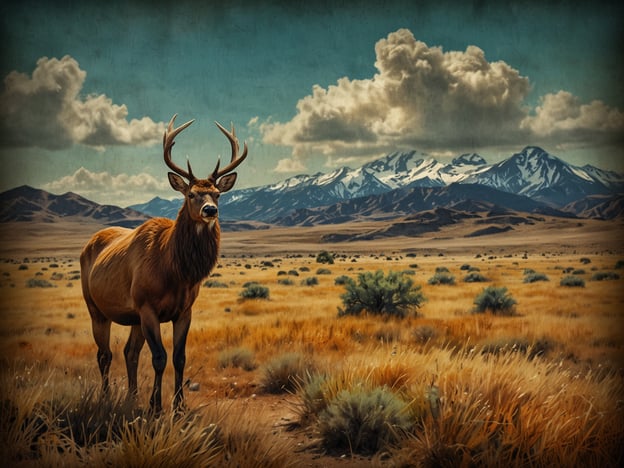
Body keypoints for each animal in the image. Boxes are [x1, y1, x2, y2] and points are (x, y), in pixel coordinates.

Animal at [81, 114, 249, 414]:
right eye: (191, 194)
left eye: (217, 193)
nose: (210, 210)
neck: (175, 272)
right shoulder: (147, 305)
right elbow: (159, 356)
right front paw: (156, 406)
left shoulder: (184, 310)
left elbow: (179, 357)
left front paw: (179, 406)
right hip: (95, 307)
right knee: (104, 354)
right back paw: (107, 397)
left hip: (132, 315)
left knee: (129, 352)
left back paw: (132, 396)